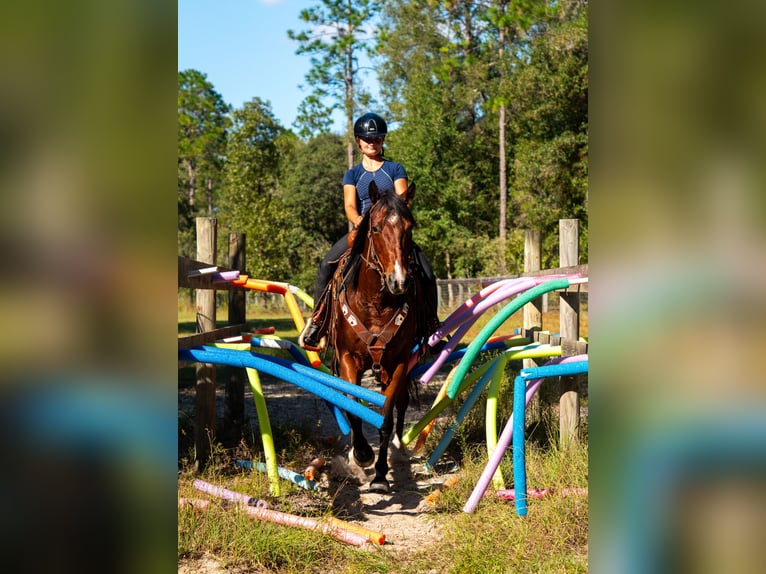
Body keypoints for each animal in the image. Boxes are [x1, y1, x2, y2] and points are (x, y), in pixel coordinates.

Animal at [327, 180, 426, 494]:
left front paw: (381, 475)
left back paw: (398, 448)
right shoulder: (348, 359)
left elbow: (384, 416)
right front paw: (361, 454)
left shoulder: (397, 362)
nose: (399, 282)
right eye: (376, 227)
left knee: (400, 405)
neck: (375, 303)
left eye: (409, 227)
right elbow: (354, 407)